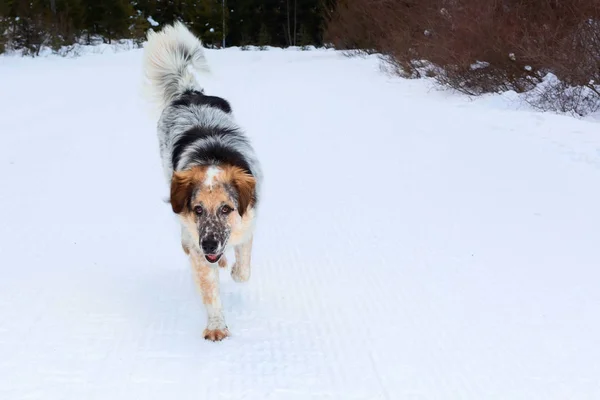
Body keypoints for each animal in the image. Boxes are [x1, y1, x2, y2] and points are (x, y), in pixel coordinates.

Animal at [143, 21, 262, 340]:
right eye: (197, 209)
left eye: (226, 209)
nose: (209, 245)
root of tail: (189, 92)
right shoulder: (197, 244)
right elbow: (209, 289)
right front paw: (217, 326)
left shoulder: (248, 223)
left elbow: (243, 269)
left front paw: (233, 268)